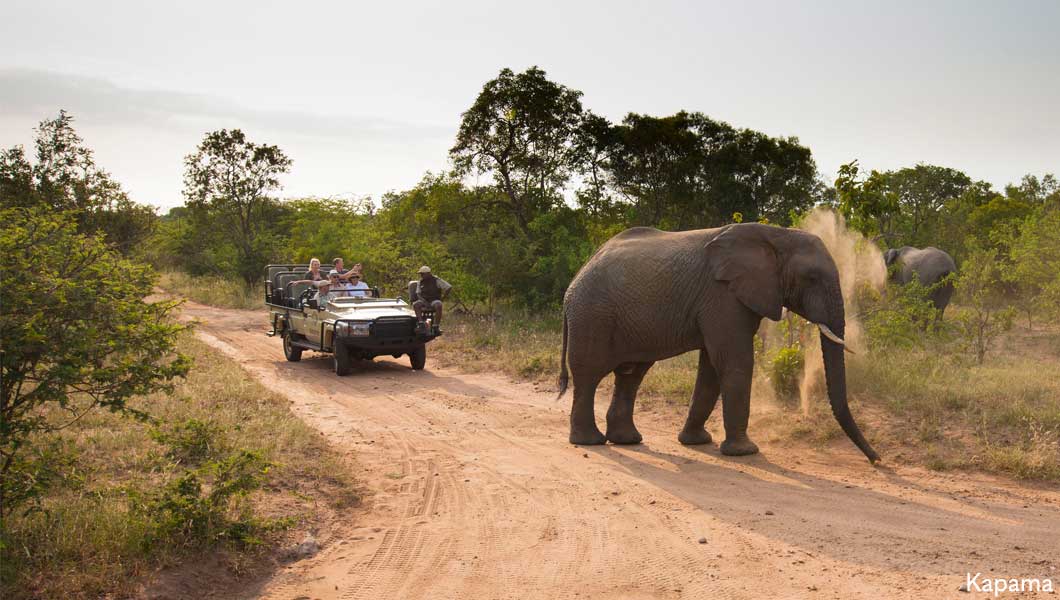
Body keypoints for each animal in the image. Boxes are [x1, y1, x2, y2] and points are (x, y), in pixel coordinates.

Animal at [555, 224, 877, 466]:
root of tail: (572, 284)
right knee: (589, 376)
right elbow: (734, 361)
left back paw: (628, 440)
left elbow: (711, 368)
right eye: (811, 278)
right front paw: (745, 452)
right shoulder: (723, 296)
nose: (877, 460)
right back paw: (590, 442)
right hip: (592, 316)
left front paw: (696, 442)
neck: (776, 235)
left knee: (630, 375)